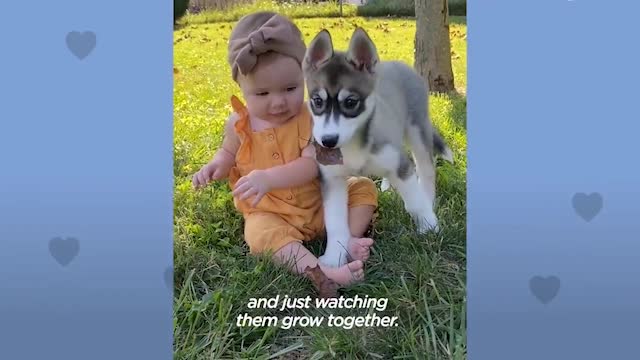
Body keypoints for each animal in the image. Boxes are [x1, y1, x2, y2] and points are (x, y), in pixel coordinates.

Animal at [302, 27, 452, 268]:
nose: (328, 141)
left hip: (418, 129)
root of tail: (397, 63)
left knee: (426, 167)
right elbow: (335, 221)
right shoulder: (332, 179)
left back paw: (428, 197)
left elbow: (415, 201)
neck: (354, 145)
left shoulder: (401, 165)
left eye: (351, 102)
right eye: (317, 101)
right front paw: (334, 256)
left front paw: (429, 227)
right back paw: (387, 185)